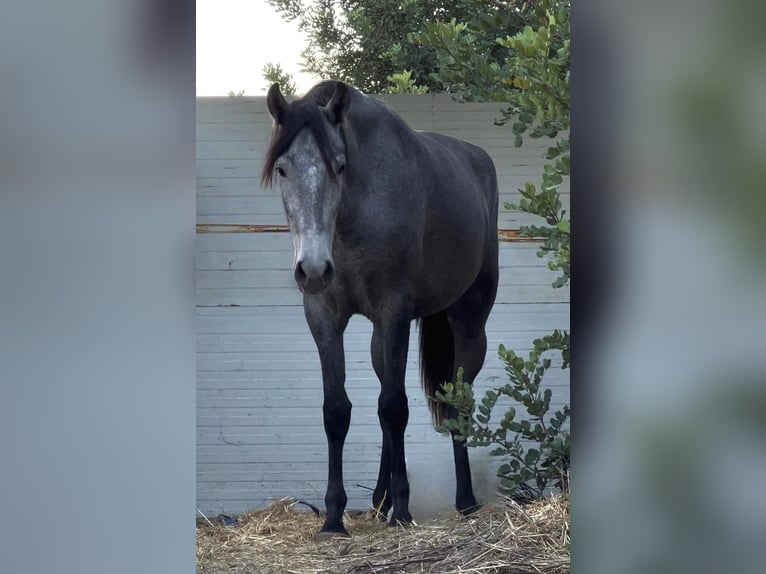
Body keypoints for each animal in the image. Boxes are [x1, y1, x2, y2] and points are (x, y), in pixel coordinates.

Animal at [261, 80, 499, 538]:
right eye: (282, 169)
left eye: (340, 166)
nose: (312, 269)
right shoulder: (324, 318)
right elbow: (338, 411)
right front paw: (334, 517)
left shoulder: (394, 313)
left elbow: (394, 407)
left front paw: (403, 510)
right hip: (380, 338)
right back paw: (380, 498)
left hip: (469, 324)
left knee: (457, 402)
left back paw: (464, 501)